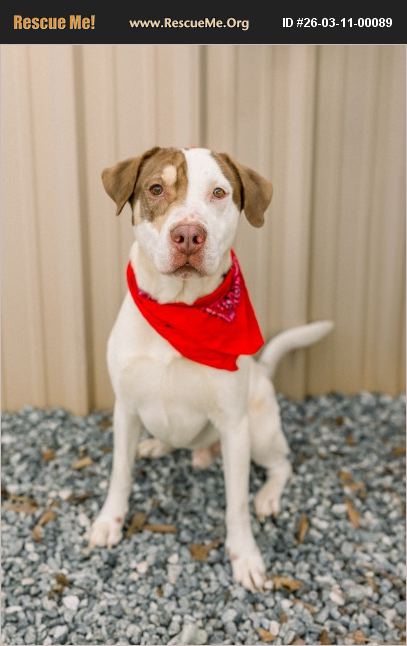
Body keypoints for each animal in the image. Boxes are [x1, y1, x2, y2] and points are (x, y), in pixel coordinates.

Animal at [89, 146, 333, 590]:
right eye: (156, 188)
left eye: (219, 193)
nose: (188, 235)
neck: (179, 311)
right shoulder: (125, 408)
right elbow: (120, 472)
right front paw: (109, 521)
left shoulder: (234, 426)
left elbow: (235, 504)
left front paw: (246, 557)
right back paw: (157, 445)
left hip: (260, 431)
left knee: (282, 464)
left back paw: (268, 496)